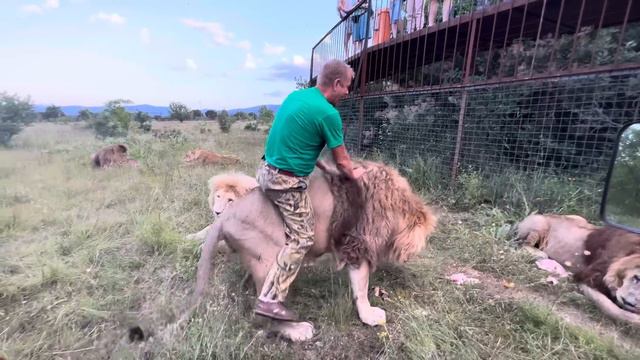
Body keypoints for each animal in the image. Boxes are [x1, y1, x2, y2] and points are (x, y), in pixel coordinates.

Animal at [191, 160, 440, 340]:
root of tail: (224, 217)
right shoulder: (356, 243)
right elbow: (361, 287)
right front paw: (369, 315)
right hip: (270, 258)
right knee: (263, 308)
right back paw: (297, 329)